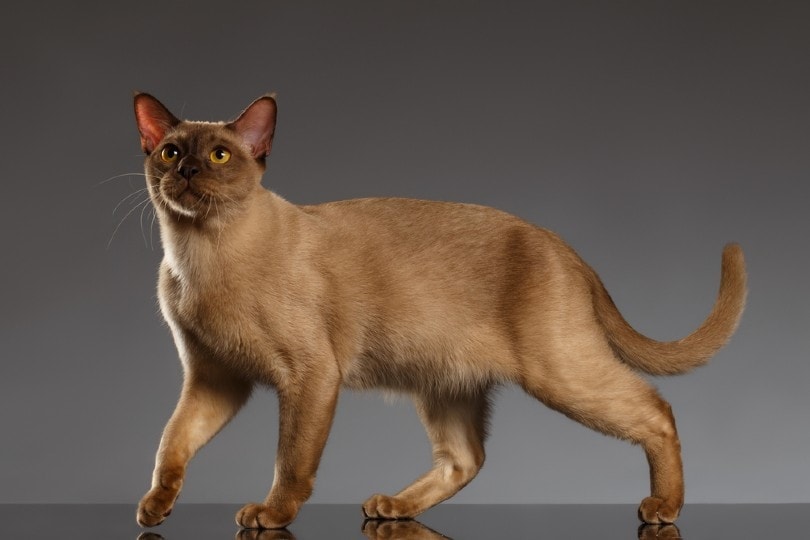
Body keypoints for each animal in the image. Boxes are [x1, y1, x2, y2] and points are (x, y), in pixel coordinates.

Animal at [131, 92, 744, 528]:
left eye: (218, 154)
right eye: (170, 151)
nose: (185, 170)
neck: (199, 254)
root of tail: (562, 245)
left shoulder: (308, 376)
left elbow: (291, 460)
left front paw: (272, 516)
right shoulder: (214, 379)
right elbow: (171, 443)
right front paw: (154, 507)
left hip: (559, 374)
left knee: (657, 410)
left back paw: (664, 508)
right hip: (446, 382)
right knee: (465, 458)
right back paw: (393, 508)